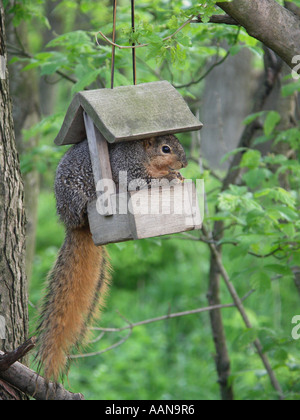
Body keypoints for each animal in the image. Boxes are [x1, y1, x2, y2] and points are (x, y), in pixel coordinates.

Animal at [36, 134, 188, 380]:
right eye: (166, 149)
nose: (184, 163)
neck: (142, 154)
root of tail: (72, 224)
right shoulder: (128, 168)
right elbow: (143, 180)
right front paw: (170, 176)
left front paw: (178, 175)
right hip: (78, 200)